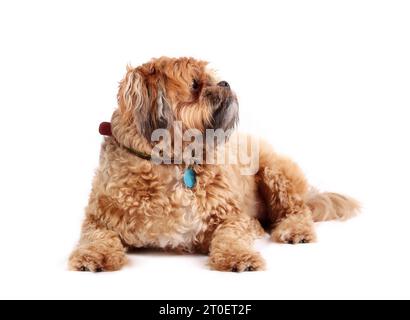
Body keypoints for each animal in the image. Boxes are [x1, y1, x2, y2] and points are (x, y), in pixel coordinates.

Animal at [69, 57, 360, 272]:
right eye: (195, 84)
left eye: (211, 79)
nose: (225, 82)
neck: (174, 162)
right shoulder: (99, 220)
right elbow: (97, 237)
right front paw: (92, 256)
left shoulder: (236, 218)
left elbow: (230, 235)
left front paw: (239, 257)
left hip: (275, 170)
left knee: (298, 211)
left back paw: (294, 230)